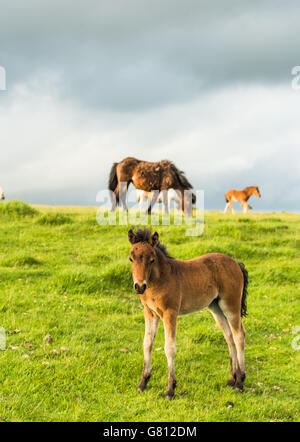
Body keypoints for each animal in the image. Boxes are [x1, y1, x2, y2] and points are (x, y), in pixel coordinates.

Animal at [127, 230, 247, 398]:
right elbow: (147, 343)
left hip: (231, 305)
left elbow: (169, 348)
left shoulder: (170, 313)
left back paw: (240, 382)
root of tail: (236, 263)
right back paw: (231, 380)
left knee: (239, 335)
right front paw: (142, 384)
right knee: (229, 337)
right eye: (131, 258)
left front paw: (170, 389)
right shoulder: (150, 312)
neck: (159, 279)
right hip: (216, 308)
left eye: (152, 260)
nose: (139, 286)